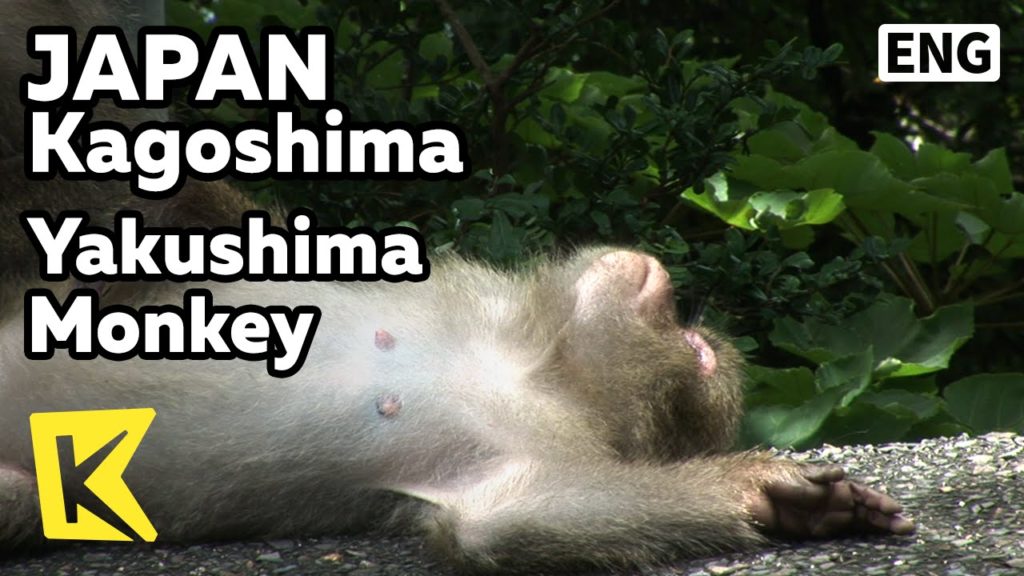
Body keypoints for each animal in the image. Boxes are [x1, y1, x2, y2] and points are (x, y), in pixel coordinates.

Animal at [0, 1, 915, 572]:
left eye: (692, 345)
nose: (666, 284)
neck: (523, 360)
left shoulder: (535, 445)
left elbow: (507, 520)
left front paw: (767, 496)